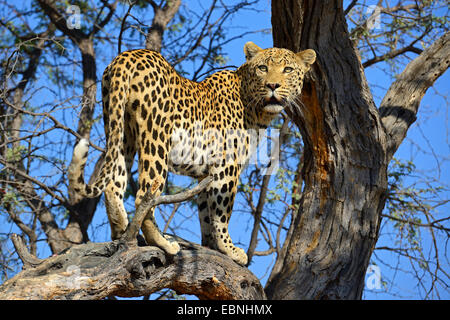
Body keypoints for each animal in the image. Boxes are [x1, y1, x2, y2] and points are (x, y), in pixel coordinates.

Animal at [68, 42, 316, 264]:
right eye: (263, 68)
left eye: (288, 69)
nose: (273, 85)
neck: (255, 107)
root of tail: (127, 56)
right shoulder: (226, 167)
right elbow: (222, 213)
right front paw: (229, 249)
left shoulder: (206, 174)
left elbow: (206, 213)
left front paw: (211, 246)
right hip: (156, 137)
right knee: (144, 195)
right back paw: (163, 242)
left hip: (120, 129)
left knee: (113, 185)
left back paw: (122, 232)